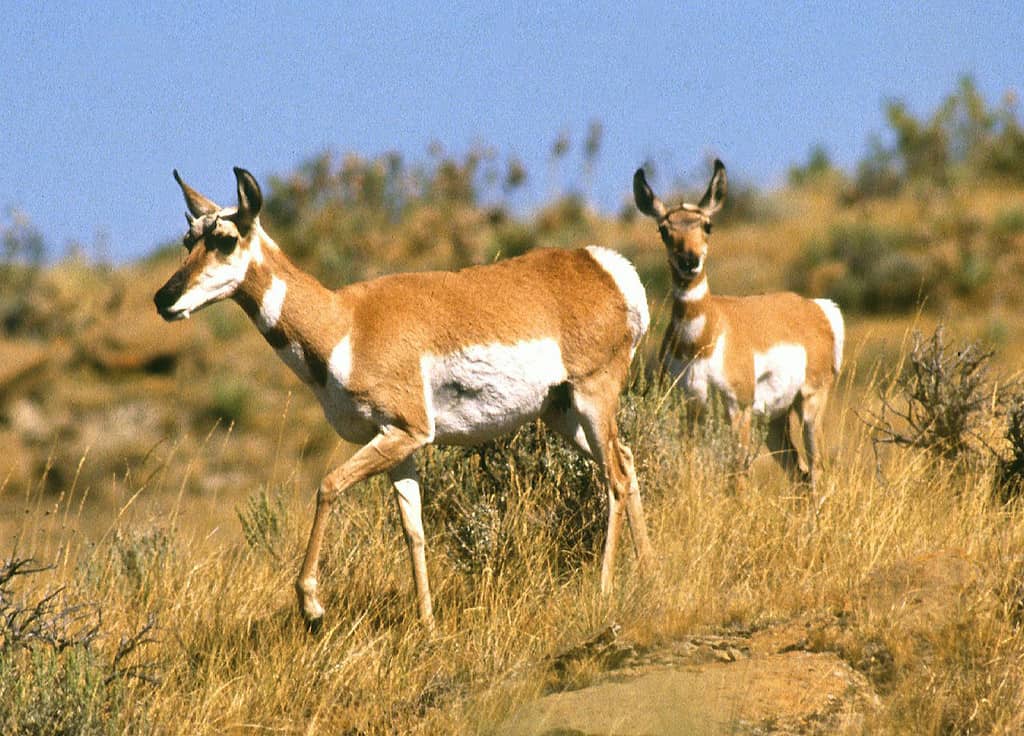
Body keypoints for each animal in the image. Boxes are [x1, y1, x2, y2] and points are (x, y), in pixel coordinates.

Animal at [154, 167, 654, 631]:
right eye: (187, 239)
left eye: (225, 239)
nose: (163, 298)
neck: (345, 323)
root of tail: (604, 267)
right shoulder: (399, 445)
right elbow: (413, 531)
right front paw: (428, 624)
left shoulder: (405, 430)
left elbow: (328, 485)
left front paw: (311, 605)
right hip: (561, 413)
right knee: (626, 461)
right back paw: (649, 571)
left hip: (592, 396)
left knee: (614, 476)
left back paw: (605, 588)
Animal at [633, 160, 844, 487]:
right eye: (664, 230)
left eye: (707, 225)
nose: (690, 261)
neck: (704, 338)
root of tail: (815, 307)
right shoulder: (691, 410)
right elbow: (690, 467)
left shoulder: (738, 410)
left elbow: (737, 475)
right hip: (774, 421)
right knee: (799, 472)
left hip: (810, 403)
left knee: (817, 469)